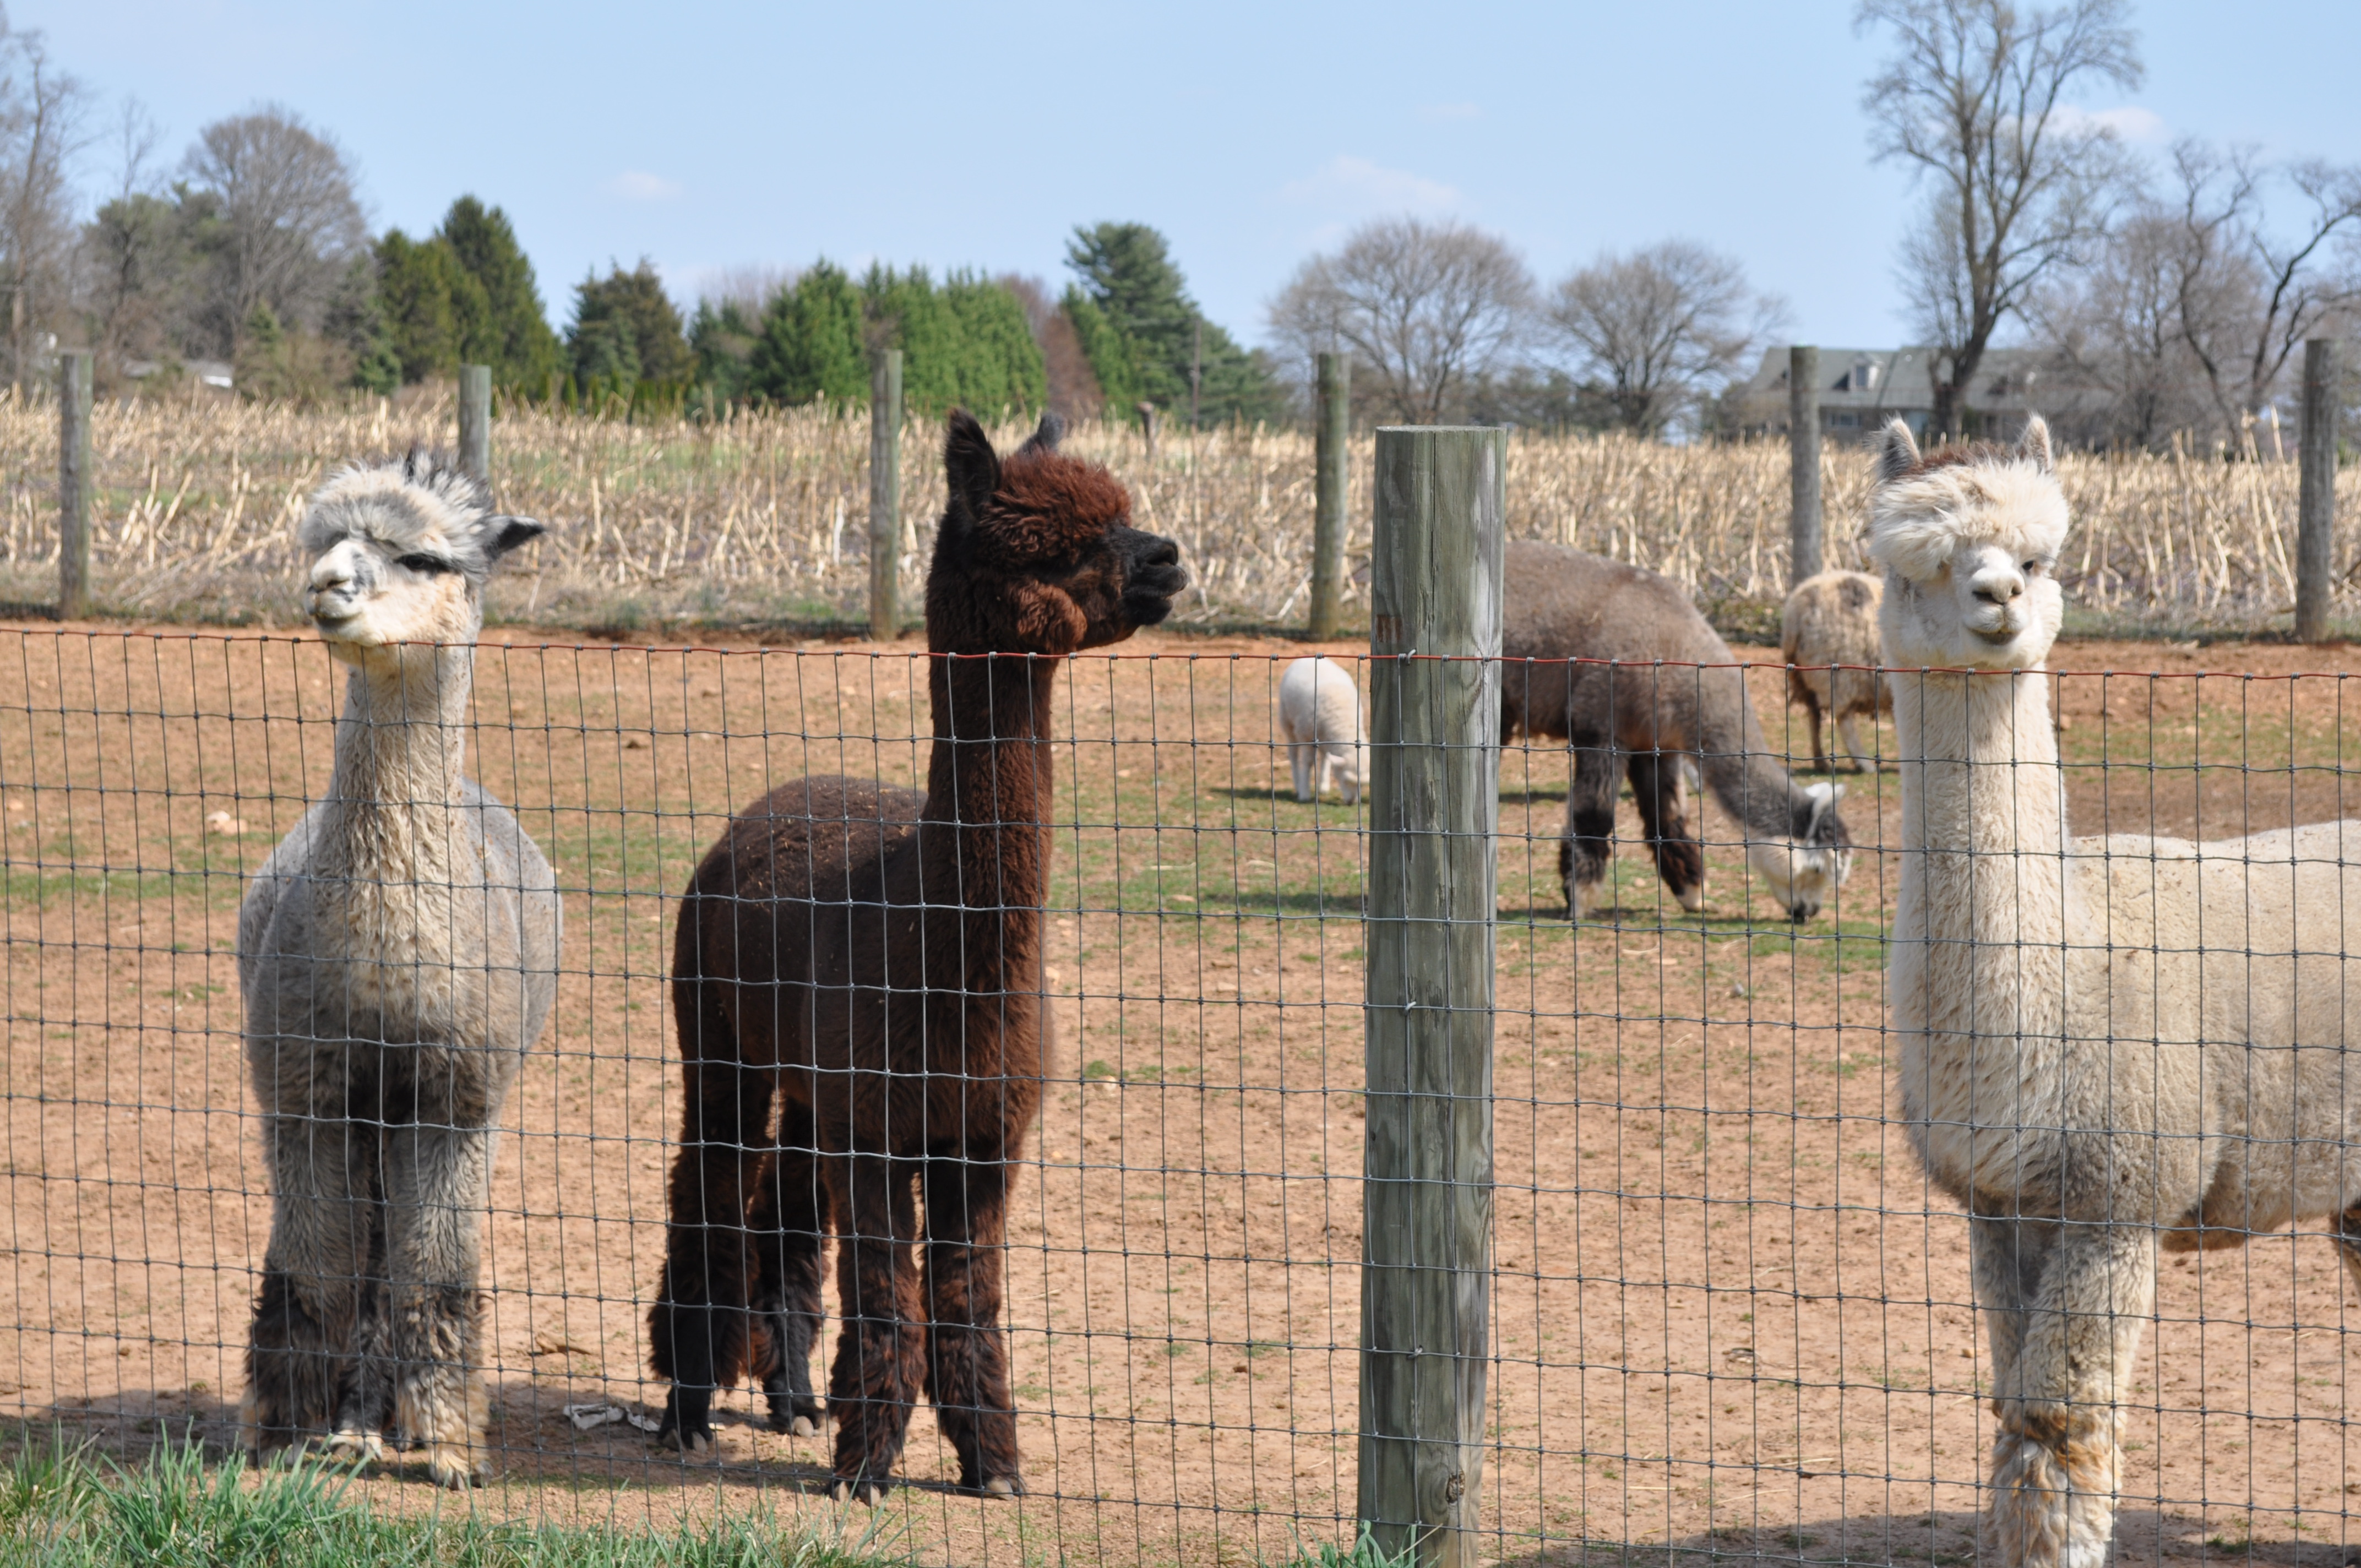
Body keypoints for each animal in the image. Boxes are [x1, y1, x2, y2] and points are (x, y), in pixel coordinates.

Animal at [237, 452, 561, 1489]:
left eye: (420, 556)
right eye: (323, 541)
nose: (328, 586)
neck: (384, 977)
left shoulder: (459, 1095)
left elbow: (438, 1268)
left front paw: (454, 1446)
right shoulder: (304, 1081)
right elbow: (317, 1263)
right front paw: (285, 1428)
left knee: (398, 1252)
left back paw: (390, 1420)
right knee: (366, 1244)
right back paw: (355, 1419)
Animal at [651, 411, 1188, 1502]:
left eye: (1123, 512)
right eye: (1045, 544)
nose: (1166, 559)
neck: (945, 965)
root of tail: (769, 801)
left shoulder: (982, 1134)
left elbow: (966, 1295)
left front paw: (992, 1464)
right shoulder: (880, 1125)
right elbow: (889, 1294)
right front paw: (867, 1468)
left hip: (813, 1078)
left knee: (783, 1208)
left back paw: (793, 1396)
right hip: (717, 1033)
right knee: (710, 1187)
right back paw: (687, 1407)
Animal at [1500, 540, 1853, 920]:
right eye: (1817, 869)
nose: (1810, 911)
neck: (1671, 651)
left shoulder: (1656, 745)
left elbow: (1668, 819)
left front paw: (1693, 893)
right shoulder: (1600, 729)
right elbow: (1595, 812)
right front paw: (1579, 898)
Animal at [1872, 414, 2361, 1568]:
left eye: (2041, 558)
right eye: (1918, 566)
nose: (1997, 597)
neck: (2068, 974)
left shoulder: (2119, 1194)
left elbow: (2059, 1426)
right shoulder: (2001, 1200)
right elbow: (2011, 1423)